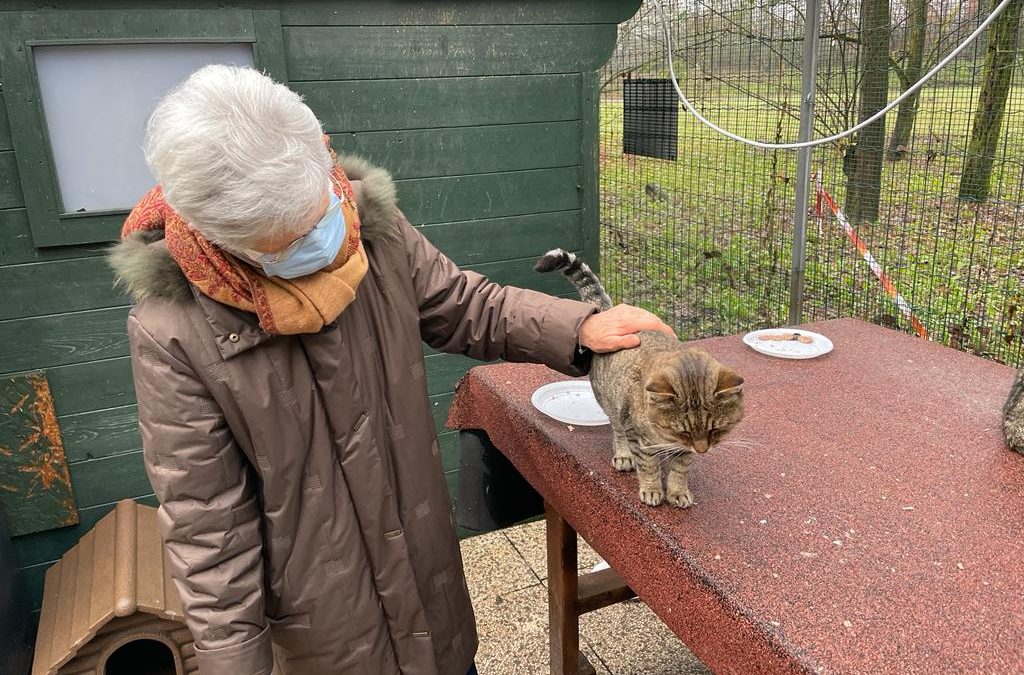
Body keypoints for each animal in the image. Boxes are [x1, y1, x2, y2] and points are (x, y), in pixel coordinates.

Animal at [536, 250, 745, 510]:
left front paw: (678, 491)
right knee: (618, 431)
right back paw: (624, 455)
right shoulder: (637, 434)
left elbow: (680, 468)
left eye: (717, 429)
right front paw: (652, 489)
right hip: (611, 404)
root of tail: (608, 312)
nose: (702, 450)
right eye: (683, 431)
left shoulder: (683, 451)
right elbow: (648, 465)